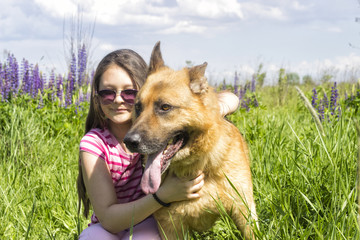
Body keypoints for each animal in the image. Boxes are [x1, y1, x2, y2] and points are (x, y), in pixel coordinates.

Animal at [125, 42, 258, 239]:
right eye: (138, 107)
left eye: (165, 107)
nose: (129, 141)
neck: (201, 165)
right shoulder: (170, 226)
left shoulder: (244, 213)